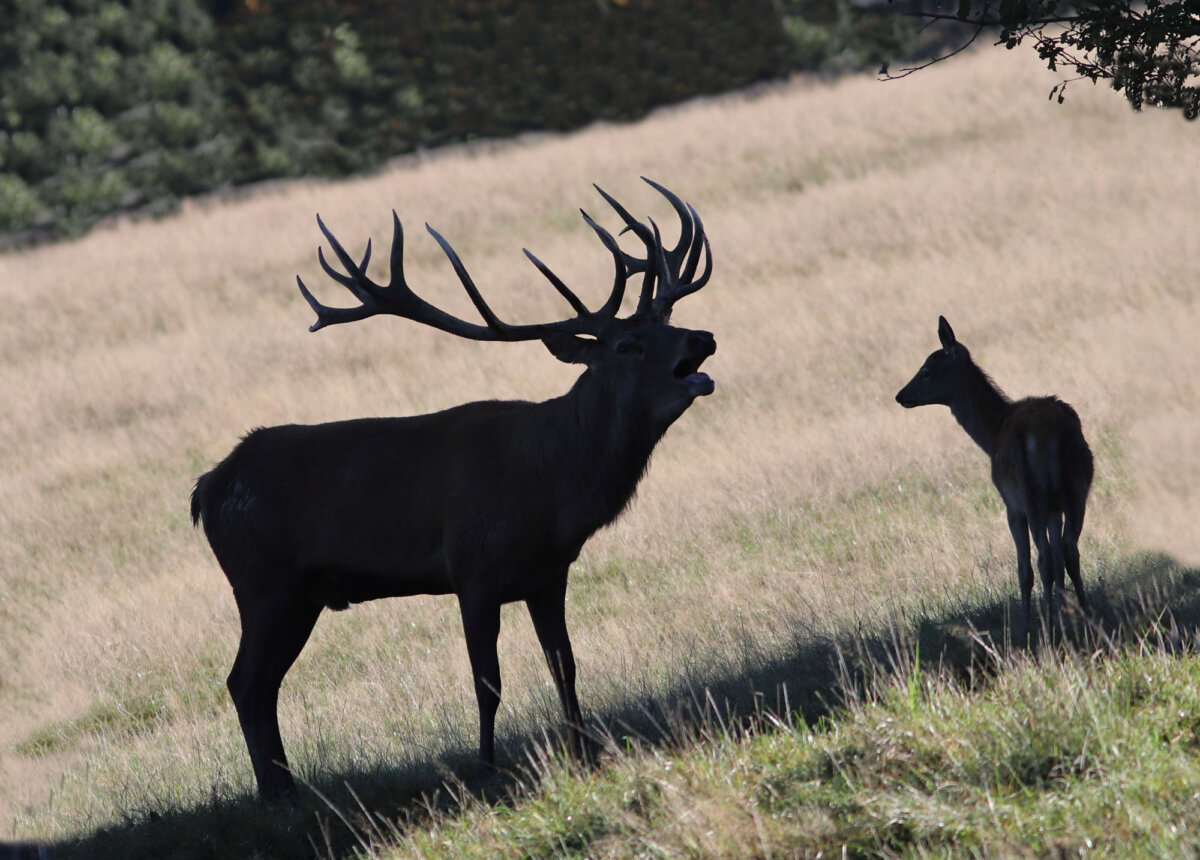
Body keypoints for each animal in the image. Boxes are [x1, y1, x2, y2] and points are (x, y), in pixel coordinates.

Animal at [187, 179, 710, 796]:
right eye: (628, 345)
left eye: (669, 320)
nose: (702, 338)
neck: (554, 485)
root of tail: (205, 490)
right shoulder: (473, 568)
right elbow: (488, 680)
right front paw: (487, 772)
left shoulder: (548, 574)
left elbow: (565, 665)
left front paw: (584, 754)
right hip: (262, 582)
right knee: (244, 682)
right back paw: (278, 796)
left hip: (302, 594)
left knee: (260, 685)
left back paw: (287, 792)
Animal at [897, 314, 1094, 628]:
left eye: (926, 371)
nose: (901, 395)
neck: (990, 435)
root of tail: (1056, 433)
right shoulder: (1054, 508)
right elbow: (1060, 556)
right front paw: (1064, 611)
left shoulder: (1011, 504)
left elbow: (1025, 569)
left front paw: (1028, 622)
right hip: (1078, 485)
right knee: (1068, 549)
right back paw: (1084, 614)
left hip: (1030, 491)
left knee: (1044, 557)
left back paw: (1042, 623)